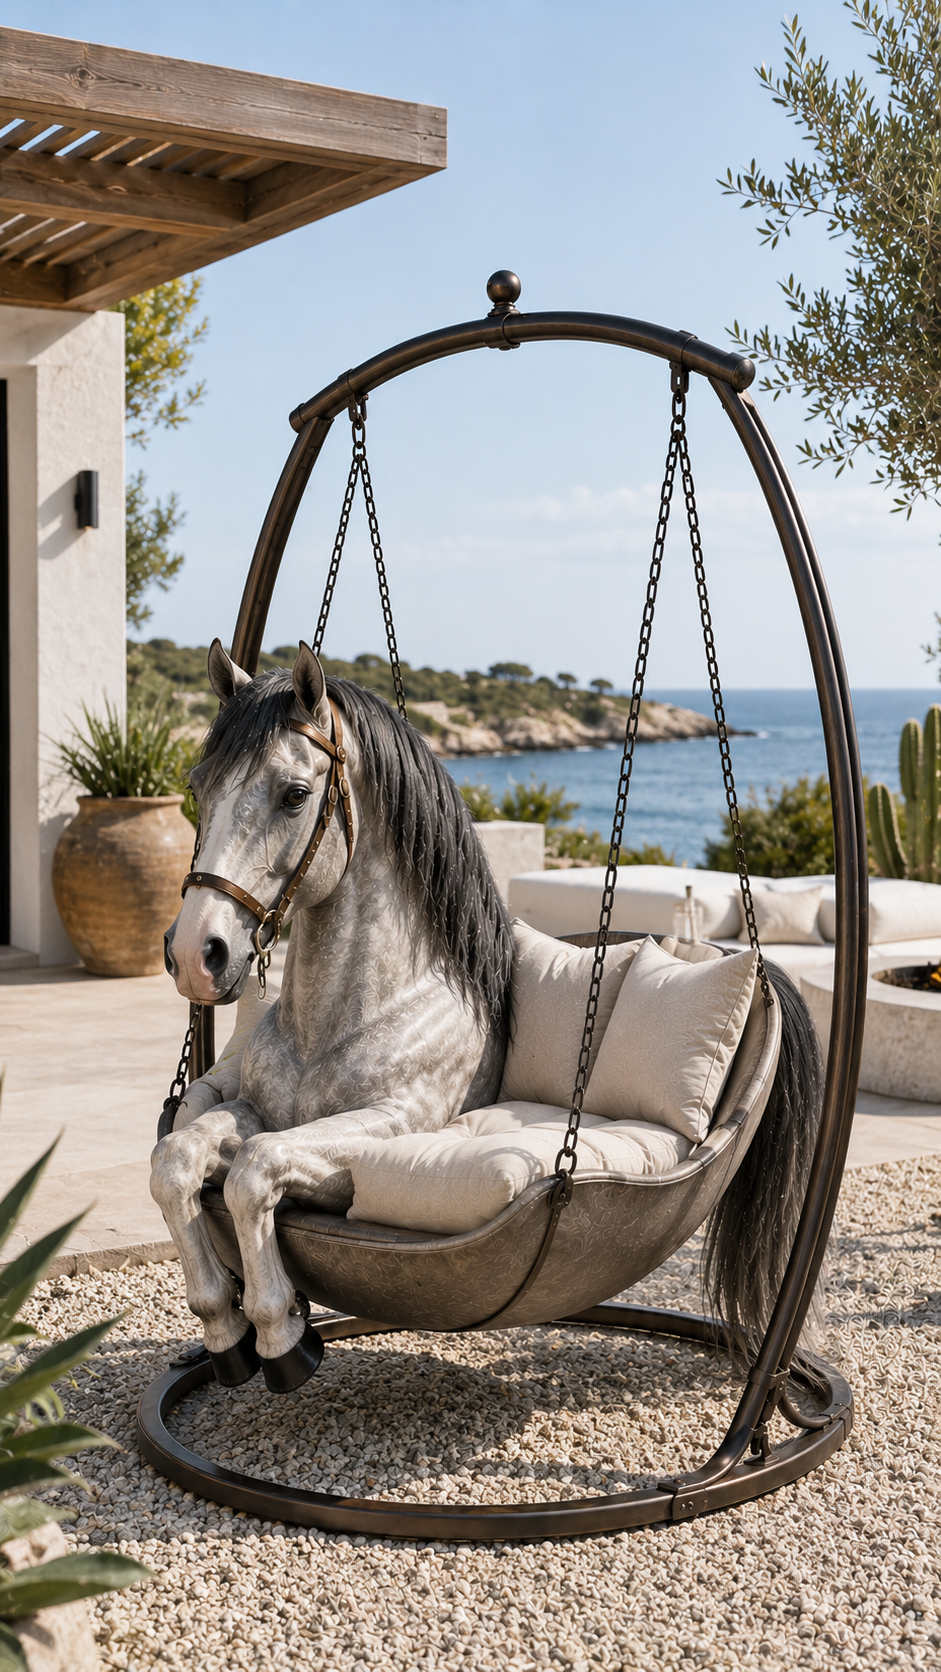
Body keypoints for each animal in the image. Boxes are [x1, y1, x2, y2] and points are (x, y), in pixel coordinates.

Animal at [152, 640, 824, 1395]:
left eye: (295, 794)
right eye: (199, 786)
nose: (196, 953)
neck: (352, 1015)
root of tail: (745, 963)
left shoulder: (383, 1134)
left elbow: (253, 1172)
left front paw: (281, 1336)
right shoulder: (257, 1111)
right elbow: (176, 1160)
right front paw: (226, 1331)